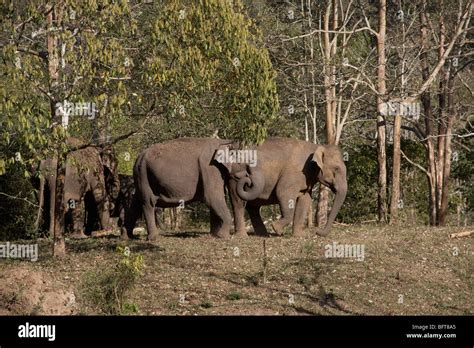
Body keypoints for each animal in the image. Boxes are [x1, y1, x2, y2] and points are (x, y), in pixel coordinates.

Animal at [120, 137, 252, 241]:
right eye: (245, 165)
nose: (247, 178)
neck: (223, 142)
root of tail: (139, 157)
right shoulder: (210, 168)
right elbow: (212, 198)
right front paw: (223, 237)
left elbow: (216, 199)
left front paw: (215, 235)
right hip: (143, 174)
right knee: (148, 202)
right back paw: (153, 238)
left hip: (140, 175)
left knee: (137, 202)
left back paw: (126, 237)